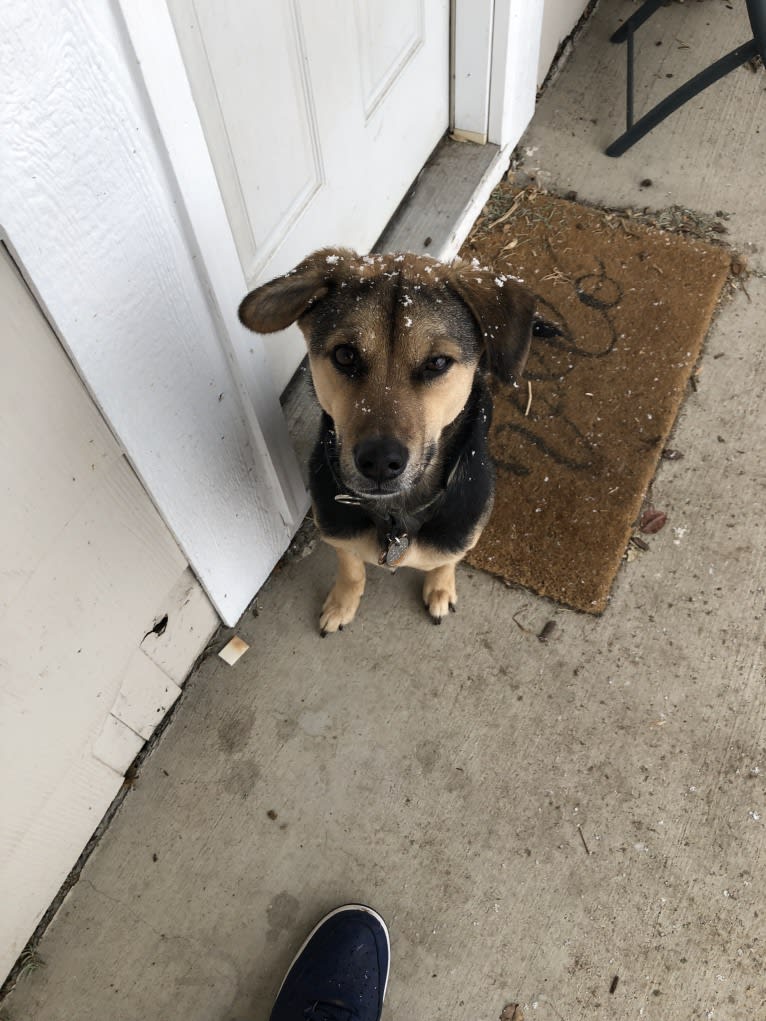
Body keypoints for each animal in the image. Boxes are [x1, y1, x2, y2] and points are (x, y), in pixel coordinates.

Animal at [236, 249, 535, 628]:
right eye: (345, 355)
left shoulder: (462, 531)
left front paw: (440, 588)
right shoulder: (337, 530)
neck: (395, 515)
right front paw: (342, 603)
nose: (379, 462)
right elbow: (350, 568)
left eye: (438, 362)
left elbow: (446, 560)